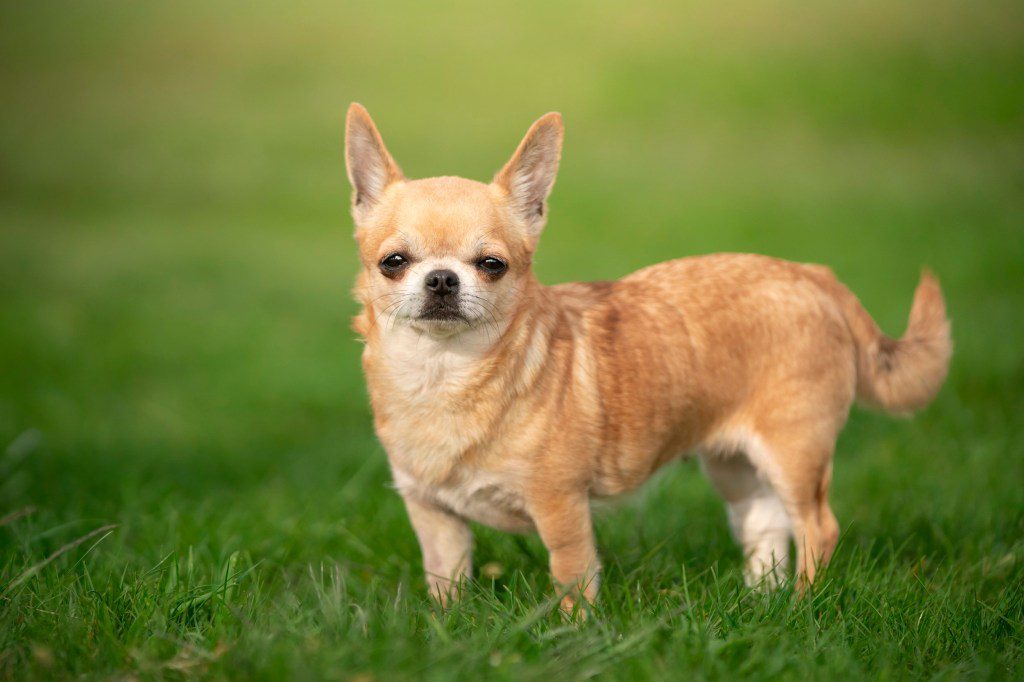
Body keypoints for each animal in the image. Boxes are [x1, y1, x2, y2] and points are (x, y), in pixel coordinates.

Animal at [342, 103, 950, 606]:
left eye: (492, 265)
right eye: (394, 262)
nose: (442, 279)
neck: (443, 377)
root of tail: (813, 276)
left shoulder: (561, 510)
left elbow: (573, 582)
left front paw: (573, 636)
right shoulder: (435, 517)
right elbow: (446, 584)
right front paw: (450, 630)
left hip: (794, 453)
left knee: (817, 527)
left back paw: (802, 605)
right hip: (734, 464)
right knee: (766, 527)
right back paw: (763, 602)